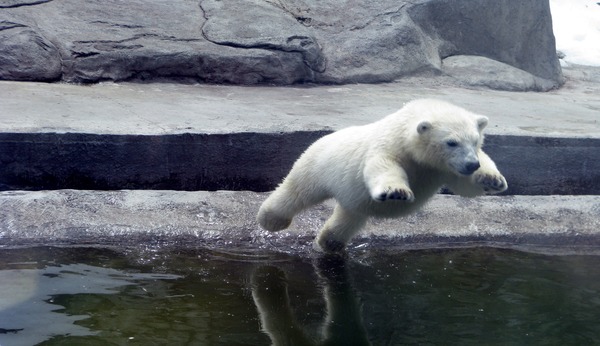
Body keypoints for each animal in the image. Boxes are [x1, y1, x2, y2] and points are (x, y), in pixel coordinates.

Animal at [255, 98, 508, 253]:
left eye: (475, 140)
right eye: (451, 142)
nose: (471, 164)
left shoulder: (443, 169)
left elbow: (464, 186)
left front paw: (492, 179)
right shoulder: (390, 147)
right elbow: (383, 166)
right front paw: (397, 192)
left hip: (353, 200)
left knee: (347, 219)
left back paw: (329, 243)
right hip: (319, 164)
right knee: (297, 191)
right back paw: (271, 220)